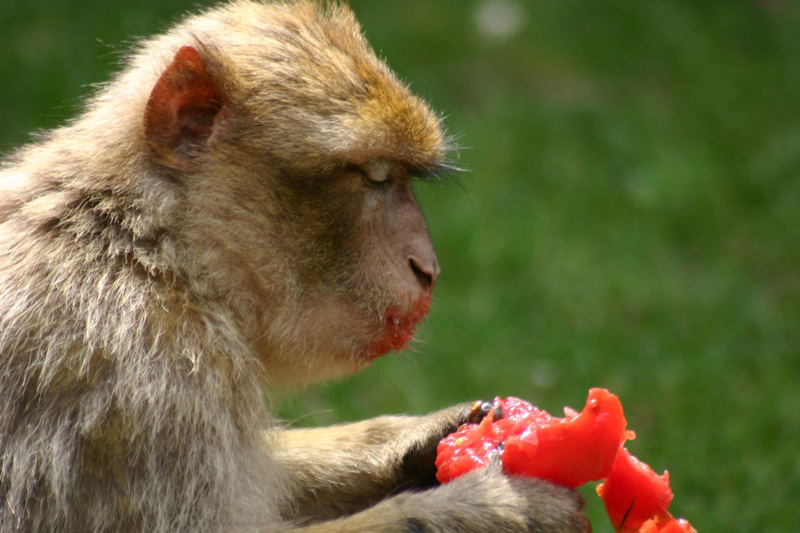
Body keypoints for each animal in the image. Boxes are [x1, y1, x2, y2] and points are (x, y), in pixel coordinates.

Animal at [0, 2, 588, 528]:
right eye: (376, 176)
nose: (428, 267)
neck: (150, 251)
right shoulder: (139, 378)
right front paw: (492, 508)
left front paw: (420, 439)